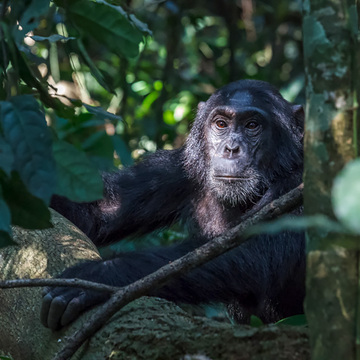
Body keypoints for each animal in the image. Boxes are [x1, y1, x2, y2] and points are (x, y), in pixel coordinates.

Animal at [40, 80, 306, 330]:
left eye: (252, 126)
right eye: (221, 124)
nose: (231, 148)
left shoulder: (297, 186)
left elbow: (255, 247)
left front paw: (95, 277)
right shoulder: (175, 169)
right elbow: (100, 212)